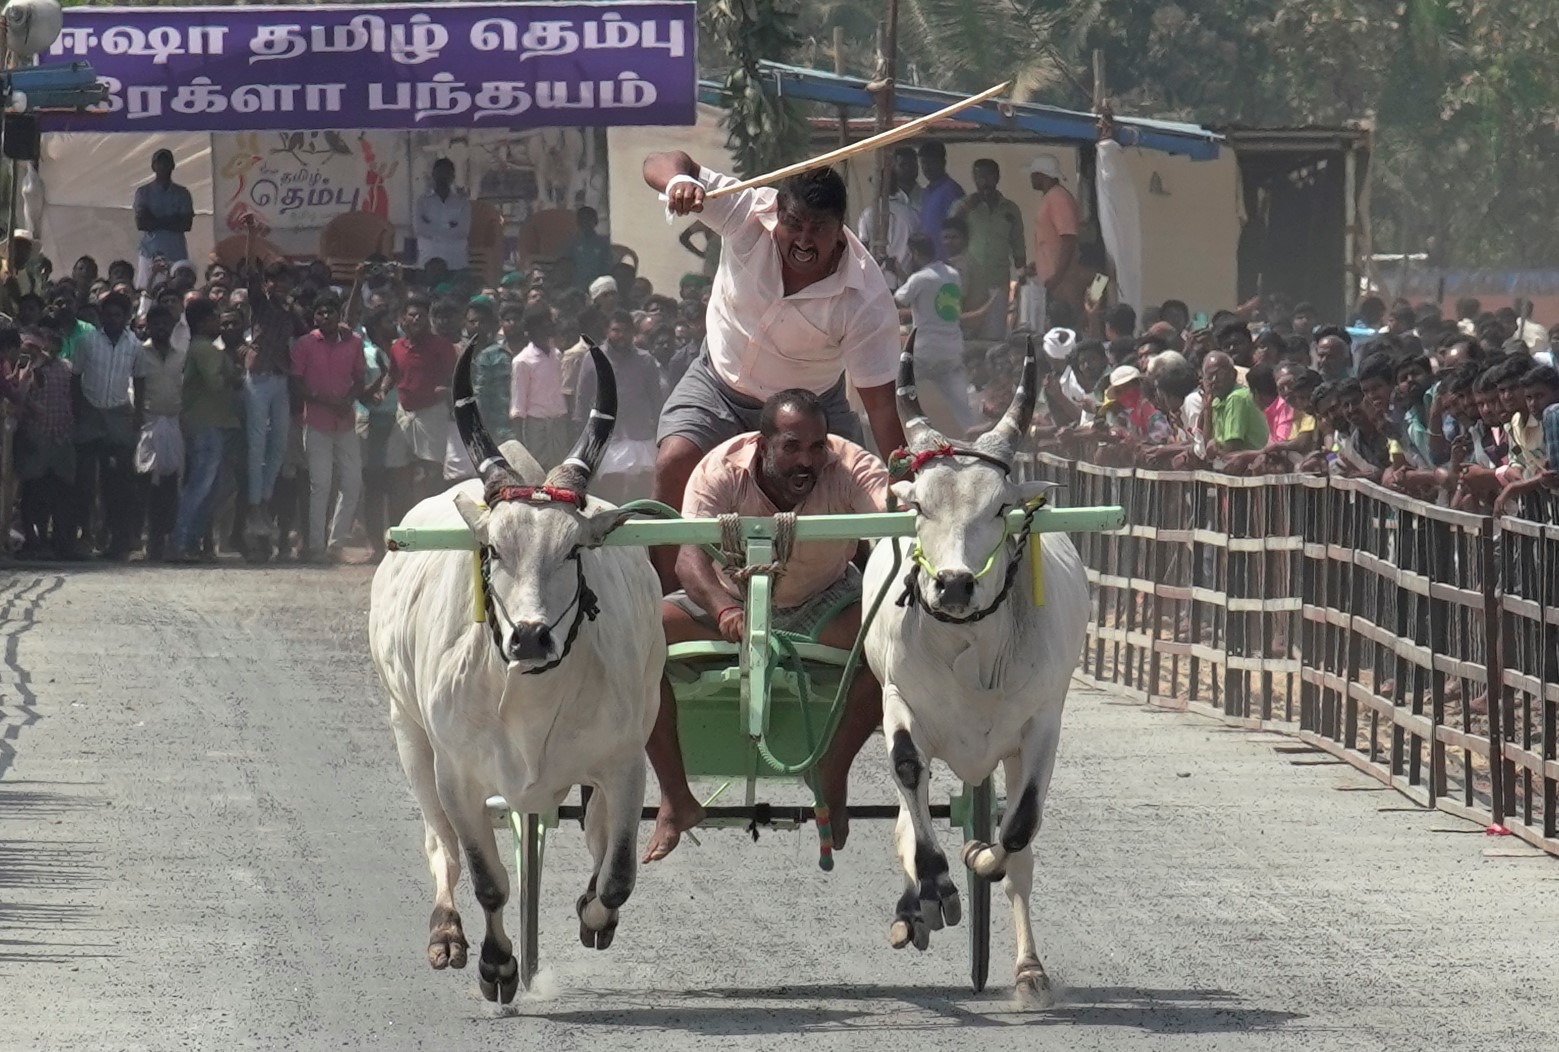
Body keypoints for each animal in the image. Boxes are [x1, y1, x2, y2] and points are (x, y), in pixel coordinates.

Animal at [367, 342, 661, 1003]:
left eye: (574, 549)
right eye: (494, 549)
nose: (529, 636)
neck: (530, 700)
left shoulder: (626, 762)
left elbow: (618, 876)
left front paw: (592, 915)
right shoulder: (458, 776)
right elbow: (488, 879)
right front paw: (498, 966)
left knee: (597, 835)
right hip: (407, 734)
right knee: (441, 846)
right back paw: (446, 934)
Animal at [860, 333, 1091, 1009]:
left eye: (1000, 508)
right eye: (919, 506)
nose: (955, 584)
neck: (972, 648)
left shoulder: (1042, 725)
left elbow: (1017, 833)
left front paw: (978, 856)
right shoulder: (897, 701)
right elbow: (909, 778)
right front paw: (937, 887)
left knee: (1018, 855)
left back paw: (1027, 969)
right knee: (906, 816)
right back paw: (916, 905)